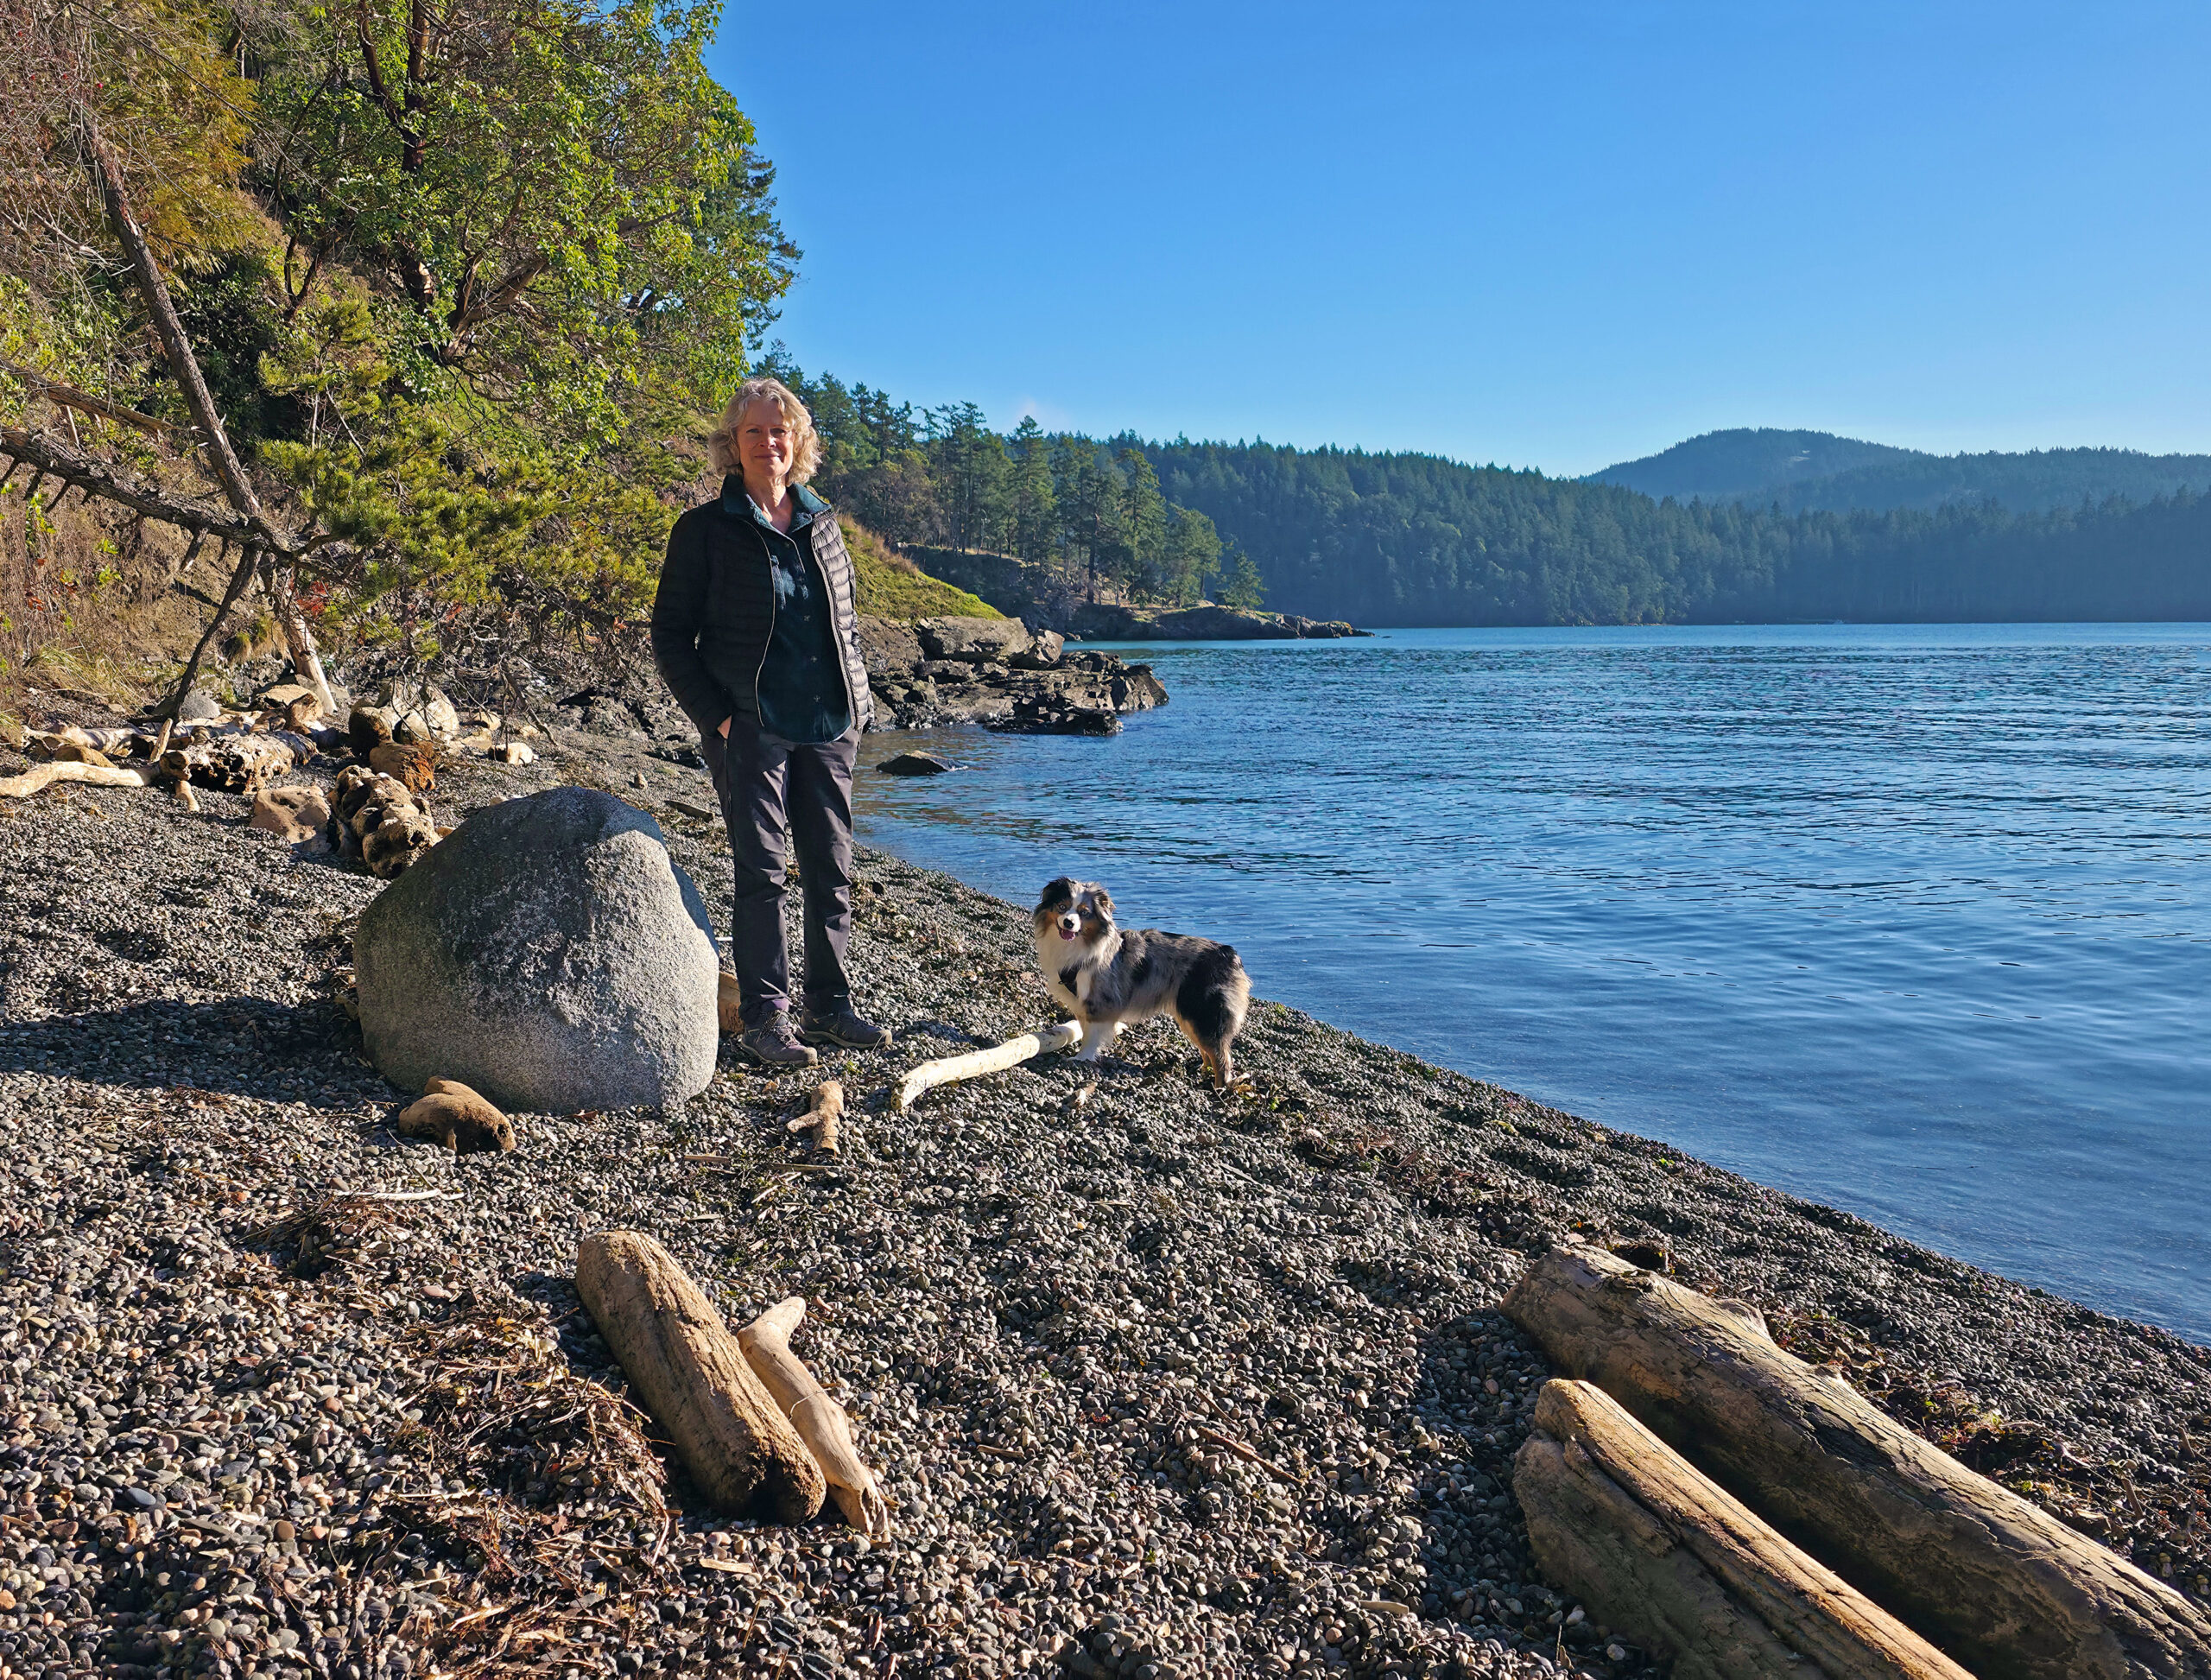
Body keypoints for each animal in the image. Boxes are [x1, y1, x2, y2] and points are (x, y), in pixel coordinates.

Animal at [1033, 877, 1250, 1089]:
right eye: (1062, 907)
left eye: (1084, 913)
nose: (1069, 923)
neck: (1078, 947)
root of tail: (1230, 954)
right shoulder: (1081, 1003)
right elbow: (1085, 1030)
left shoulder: (1100, 1002)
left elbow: (1091, 1036)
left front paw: (1081, 1058)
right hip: (1189, 1016)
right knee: (1209, 1052)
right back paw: (1203, 1073)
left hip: (1203, 1015)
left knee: (1222, 1058)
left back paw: (1219, 1090)